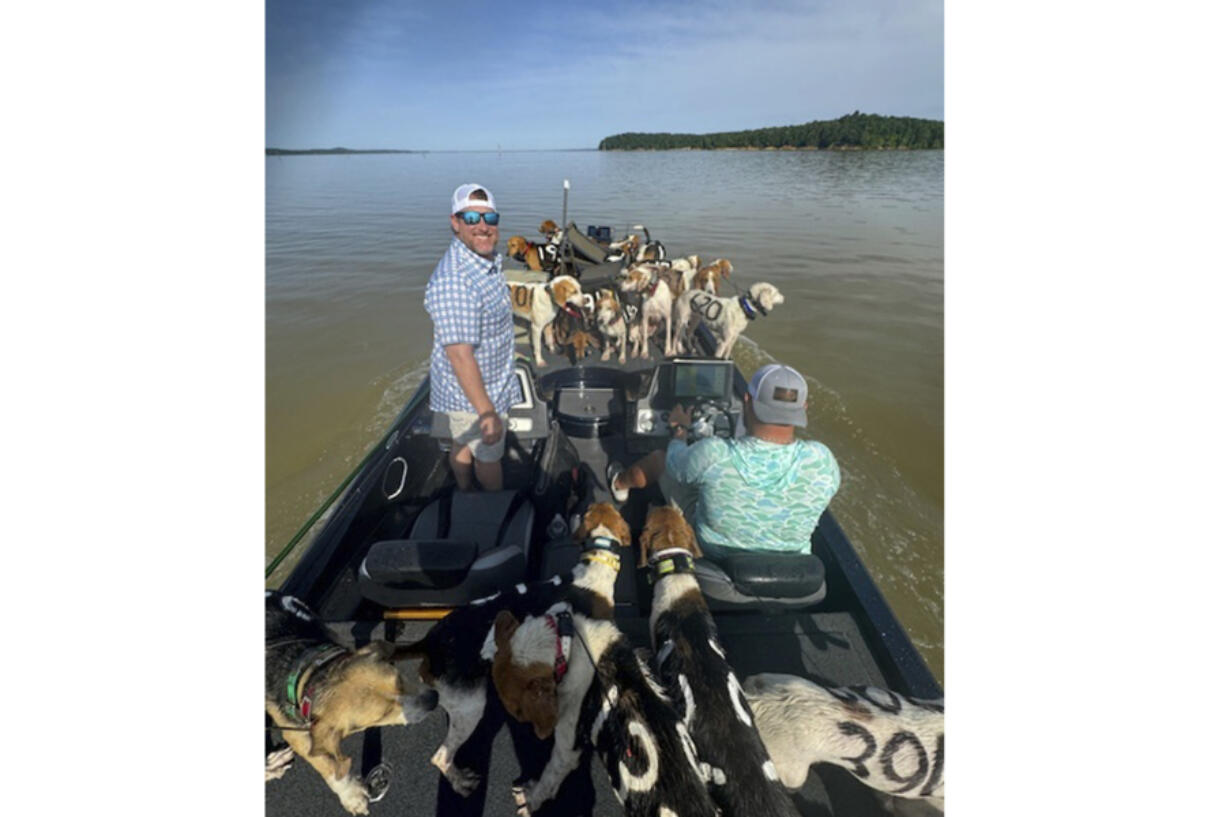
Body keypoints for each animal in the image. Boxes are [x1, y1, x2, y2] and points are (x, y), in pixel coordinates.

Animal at [264, 588, 441, 809]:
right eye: (383, 714)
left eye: (399, 678)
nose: (434, 699)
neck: (314, 672)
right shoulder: (297, 733)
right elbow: (326, 763)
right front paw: (351, 796)